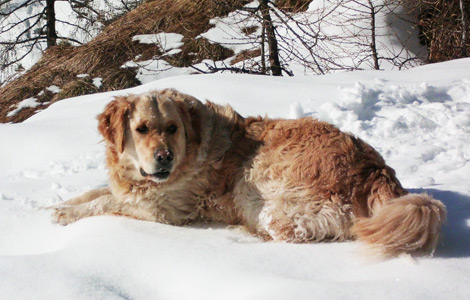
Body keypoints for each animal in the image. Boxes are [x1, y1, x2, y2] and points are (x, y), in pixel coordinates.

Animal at [53, 88, 446, 256]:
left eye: (172, 128)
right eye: (142, 129)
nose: (164, 157)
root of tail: (376, 169)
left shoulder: (164, 209)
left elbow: (105, 203)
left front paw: (65, 214)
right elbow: (98, 192)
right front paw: (58, 204)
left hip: (255, 184)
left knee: (293, 234)